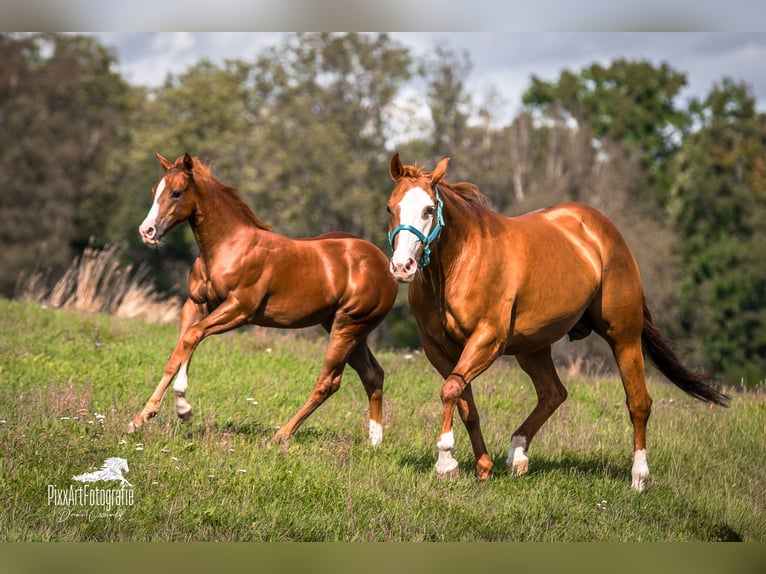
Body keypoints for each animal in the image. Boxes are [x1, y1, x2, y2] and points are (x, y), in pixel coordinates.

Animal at [129, 152, 397, 447]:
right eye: (155, 191)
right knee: (373, 374)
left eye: (177, 193)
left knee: (329, 382)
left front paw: (180, 409)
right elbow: (180, 350)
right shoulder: (196, 305)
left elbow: (192, 337)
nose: (147, 231)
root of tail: (387, 266)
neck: (228, 247)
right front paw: (144, 417)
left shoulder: (238, 310)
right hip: (347, 329)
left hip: (348, 327)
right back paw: (375, 442)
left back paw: (281, 435)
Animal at [386, 153, 729, 491]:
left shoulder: (488, 339)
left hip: (625, 337)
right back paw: (517, 455)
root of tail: (605, 230)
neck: (461, 261)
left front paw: (445, 462)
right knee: (553, 392)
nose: (402, 267)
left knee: (638, 402)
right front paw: (483, 468)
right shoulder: (437, 348)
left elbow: (451, 390)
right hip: (532, 347)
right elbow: (464, 400)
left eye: (429, 209)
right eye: (391, 207)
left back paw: (639, 477)